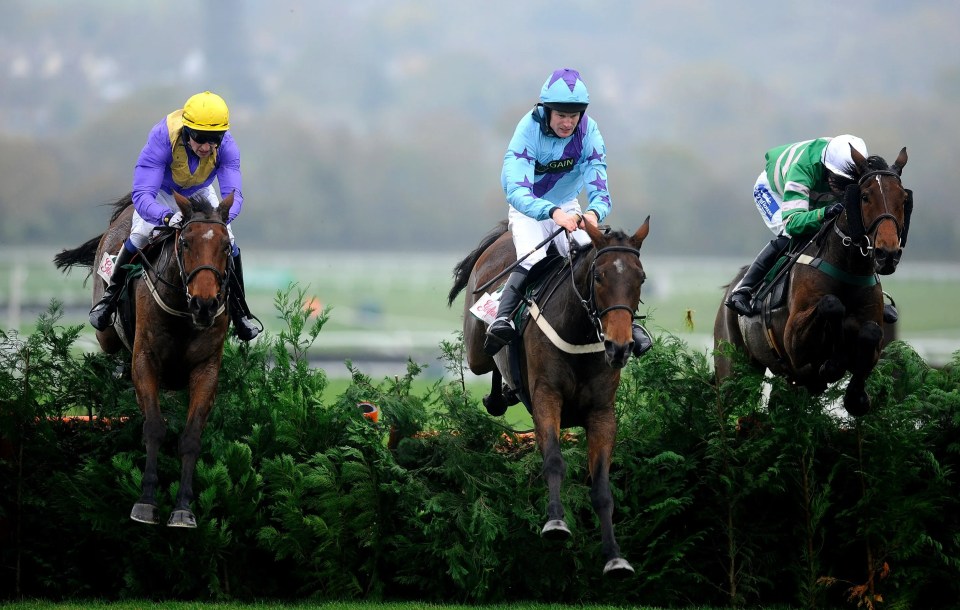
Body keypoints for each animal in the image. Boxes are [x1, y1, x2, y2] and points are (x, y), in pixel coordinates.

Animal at [54, 191, 234, 528]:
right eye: (185, 242)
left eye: (227, 246)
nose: (204, 305)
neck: (184, 312)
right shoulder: (146, 360)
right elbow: (153, 427)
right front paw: (146, 502)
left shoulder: (206, 368)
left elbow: (191, 436)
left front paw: (183, 508)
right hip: (107, 334)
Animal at [450, 217, 652, 576]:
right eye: (599, 277)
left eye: (640, 277)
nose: (619, 347)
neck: (580, 332)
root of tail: (502, 235)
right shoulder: (547, 396)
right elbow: (554, 461)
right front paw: (556, 523)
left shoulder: (602, 413)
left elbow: (602, 487)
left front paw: (615, 556)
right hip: (476, 351)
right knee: (489, 357)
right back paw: (499, 373)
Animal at [716, 146, 912, 418]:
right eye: (864, 196)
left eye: (903, 199)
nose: (887, 254)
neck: (847, 268)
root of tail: (731, 288)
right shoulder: (794, 342)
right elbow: (831, 305)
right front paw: (834, 360)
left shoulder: (873, 333)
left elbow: (870, 334)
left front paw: (856, 396)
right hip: (732, 364)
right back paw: (741, 297)